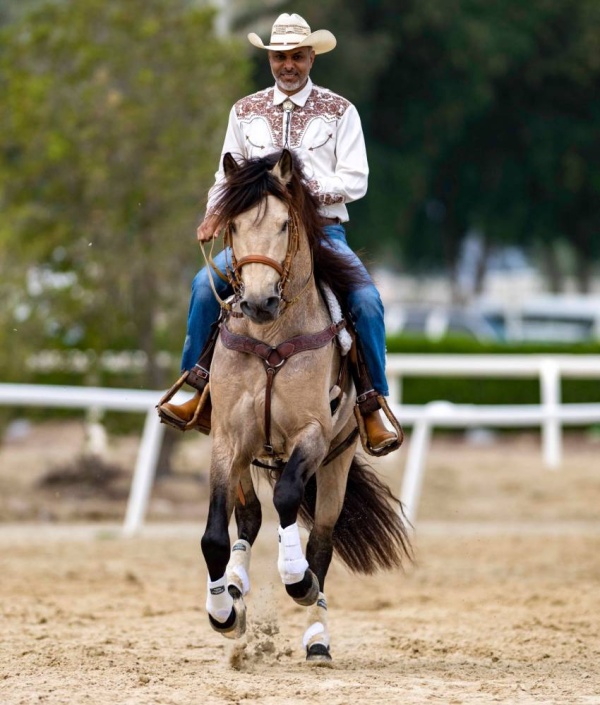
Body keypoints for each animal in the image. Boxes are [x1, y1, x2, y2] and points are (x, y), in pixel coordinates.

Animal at [197, 148, 412, 664]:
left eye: (282, 225)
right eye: (233, 226)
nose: (258, 302)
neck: (273, 339)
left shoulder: (311, 436)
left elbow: (290, 499)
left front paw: (295, 577)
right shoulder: (227, 439)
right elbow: (214, 534)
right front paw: (223, 613)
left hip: (336, 462)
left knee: (322, 541)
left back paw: (317, 636)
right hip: (248, 455)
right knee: (250, 516)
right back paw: (236, 584)